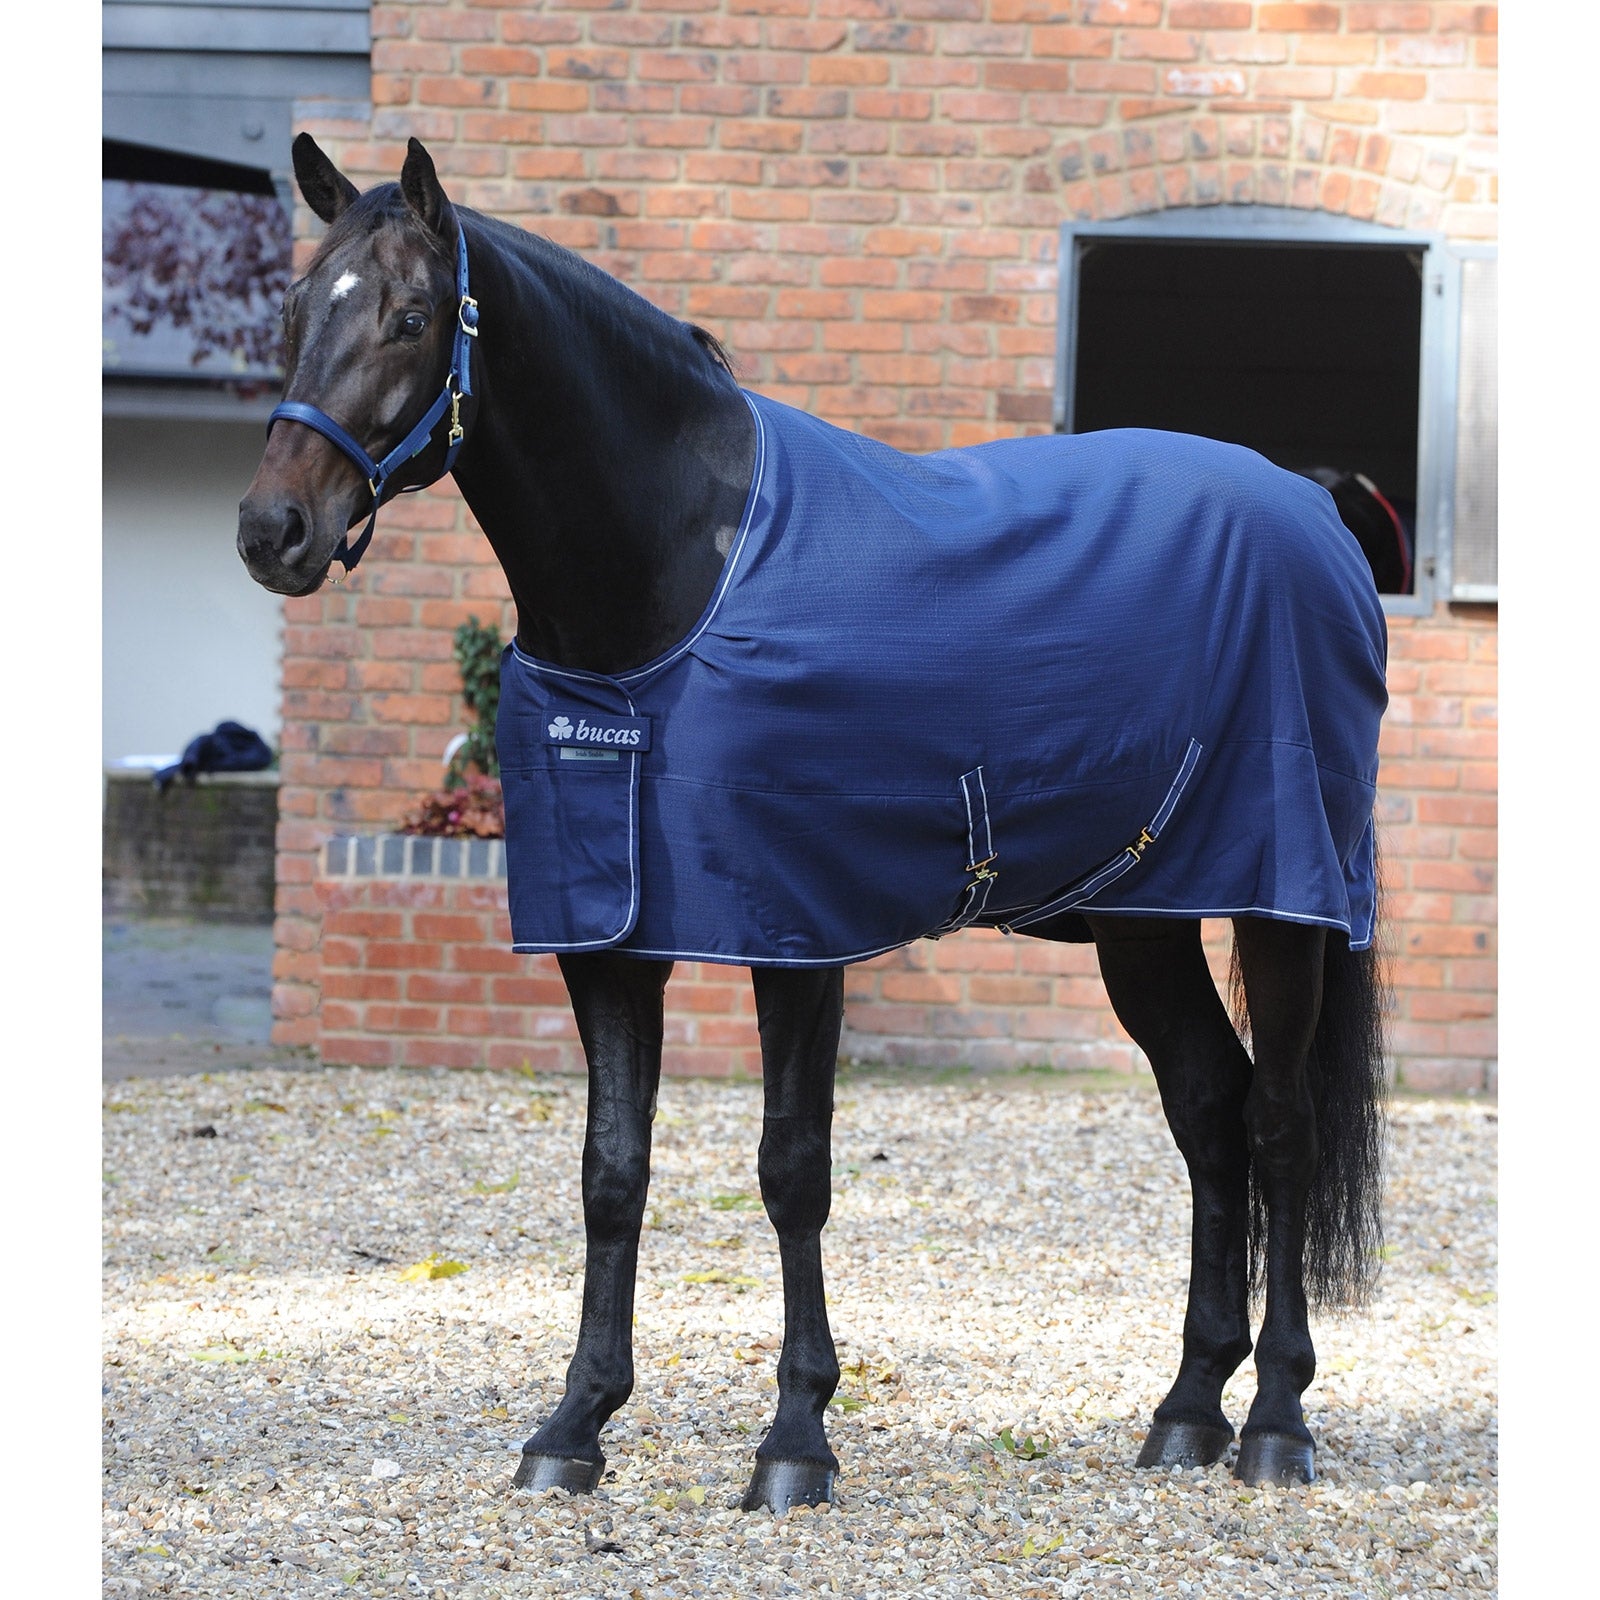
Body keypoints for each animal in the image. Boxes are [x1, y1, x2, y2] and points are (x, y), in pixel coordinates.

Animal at [238, 135, 1390, 1514]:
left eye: (412, 317)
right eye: (293, 313)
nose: (273, 531)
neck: (677, 572)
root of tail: (1316, 508)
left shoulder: (797, 934)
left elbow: (791, 1170)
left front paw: (794, 1437)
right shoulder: (606, 937)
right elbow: (611, 1169)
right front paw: (574, 1423)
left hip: (1284, 903)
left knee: (1276, 1124)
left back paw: (1274, 1421)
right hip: (1141, 921)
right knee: (1210, 1111)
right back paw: (1184, 1411)